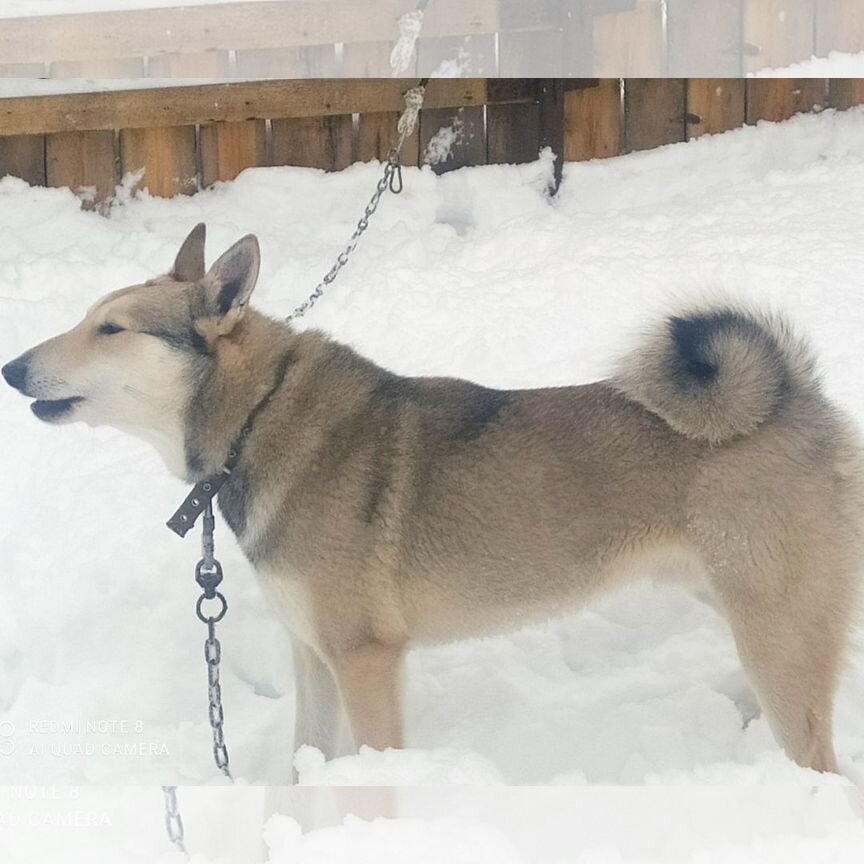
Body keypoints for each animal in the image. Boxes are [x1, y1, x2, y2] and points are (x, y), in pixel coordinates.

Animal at [3, 224, 860, 776]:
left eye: (112, 329)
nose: (11, 368)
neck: (255, 419)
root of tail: (796, 398)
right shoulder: (313, 655)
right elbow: (306, 760)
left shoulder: (365, 657)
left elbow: (377, 770)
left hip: (774, 630)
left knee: (820, 761)